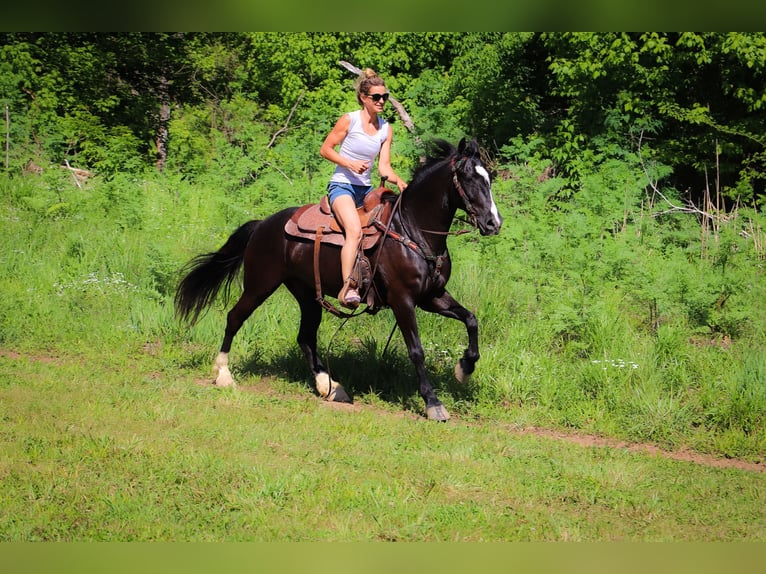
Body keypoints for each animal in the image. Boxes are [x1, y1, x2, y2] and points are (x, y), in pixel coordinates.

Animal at [177, 137, 508, 420]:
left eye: (488, 179)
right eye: (469, 178)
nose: (494, 223)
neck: (413, 230)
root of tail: (262, 225)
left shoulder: (432, 297)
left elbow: (471, 320)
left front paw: (464, 368)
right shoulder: (403, 301)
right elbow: (417, 350)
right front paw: (433, 402)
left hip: (306, 294)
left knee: (305, 337)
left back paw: (330, 386)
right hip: (260, 284)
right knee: (235, 318)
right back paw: (223, 374)